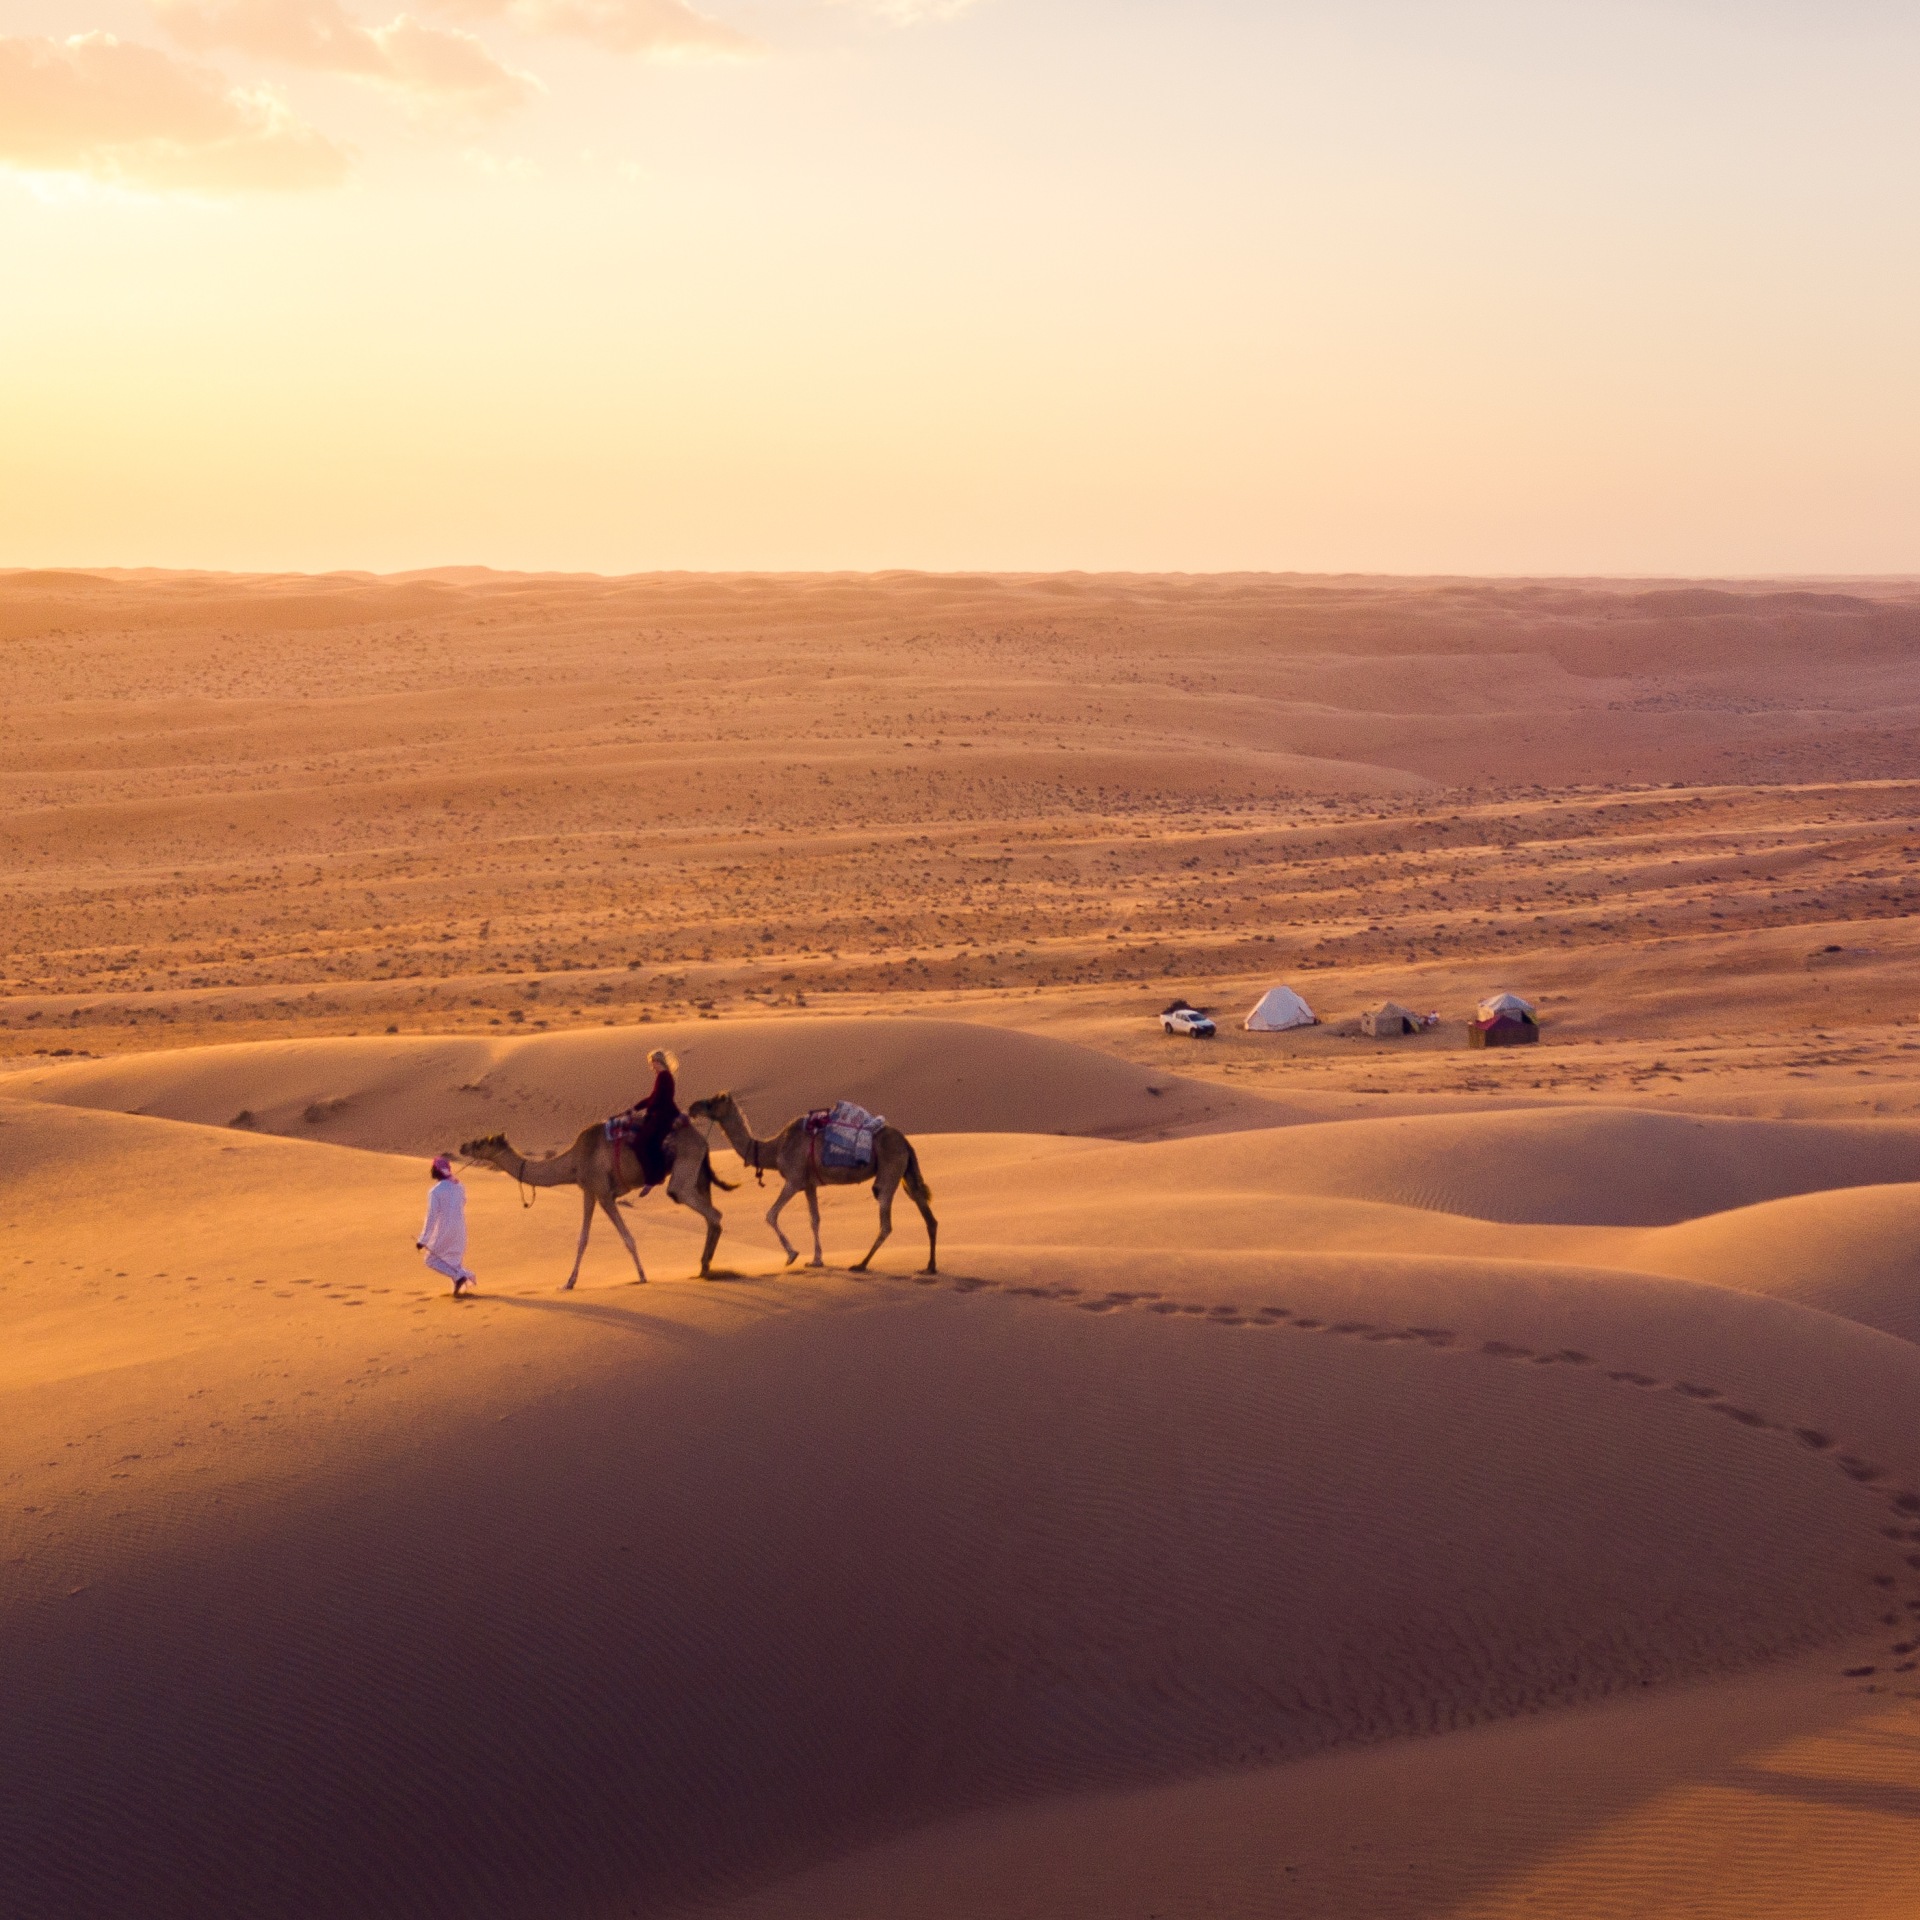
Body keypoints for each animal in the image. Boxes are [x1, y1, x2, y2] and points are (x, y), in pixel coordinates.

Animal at [462, 1121, 733, 1282]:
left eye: (480, 1142)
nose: (463, 1146)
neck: (573, 1162)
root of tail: (703, 1140)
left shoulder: (602, 1192)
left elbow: (627, 1238)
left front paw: (642, 1276)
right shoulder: (589, 1191)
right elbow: (583, 1239)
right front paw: (569, 1283)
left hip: (684, 1169)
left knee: (710, 1212)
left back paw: (706, 1269)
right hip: (699, 1174)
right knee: (711, 1216)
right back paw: (705, 1268)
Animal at [687, 1098, 940, 1274]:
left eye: (712, 1101)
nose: (692, 1108)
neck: (775, 1149)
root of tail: (905, 1142)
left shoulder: (793, 1180)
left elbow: (771, 1214)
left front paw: (792, 1255)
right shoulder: (810, 1185)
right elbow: (814, 1219)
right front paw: (817, 1260)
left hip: (888, 1171)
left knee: (886, 1221)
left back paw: (861, 1264)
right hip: (906, 1172)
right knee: (928, 1214)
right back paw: (929, 1267)